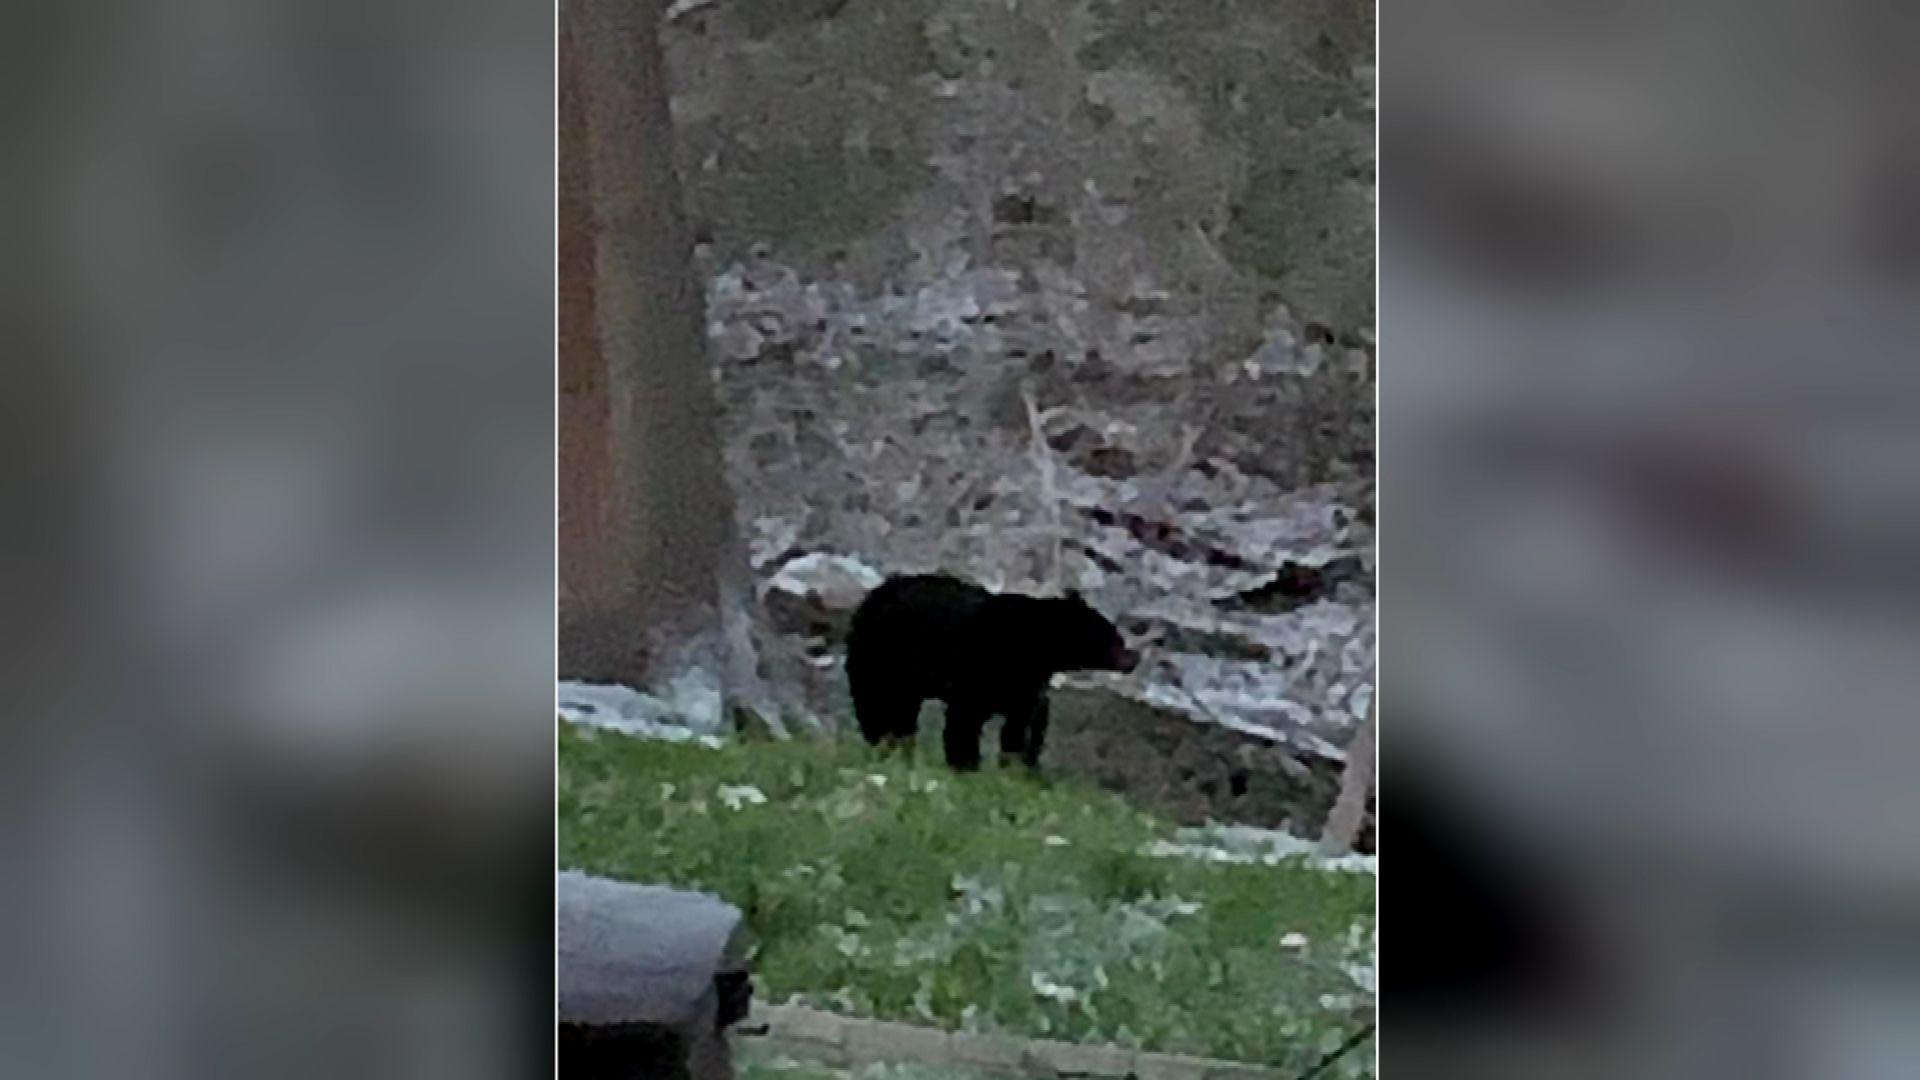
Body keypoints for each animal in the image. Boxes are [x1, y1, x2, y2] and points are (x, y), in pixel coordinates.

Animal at [845, 573, 1139, 771]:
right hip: (880, 655)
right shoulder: (981, 669)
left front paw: (1009, 763)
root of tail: (874, 594)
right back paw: (881, 740)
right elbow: (965, 719)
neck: (1038, 647)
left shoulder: (1025, 683)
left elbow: (1018, 723)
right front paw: (965, 762)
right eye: (1113, 636)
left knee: (902, 710)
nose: (1133, 658)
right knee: (873, 700)